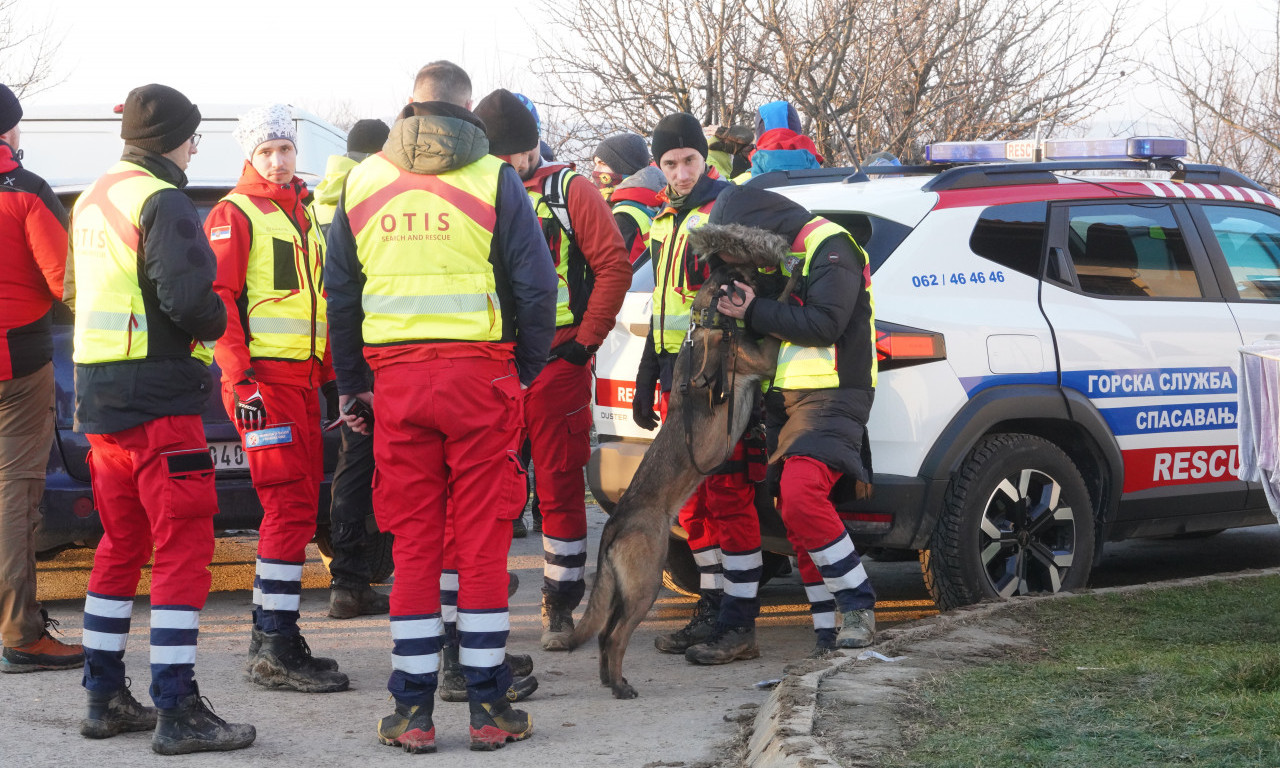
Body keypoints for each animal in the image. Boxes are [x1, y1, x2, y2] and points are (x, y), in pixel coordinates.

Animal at [568, 220, 793, 696]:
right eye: (756, 273)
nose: (780, 269)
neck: (711, 322)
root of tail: (613, 526)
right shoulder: (763, 359)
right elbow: (776, 324)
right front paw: (792, 285)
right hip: (645, 582)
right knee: (614, 634)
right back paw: (621, 686)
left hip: (628, 586)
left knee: (604, 633)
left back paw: (610, 680)